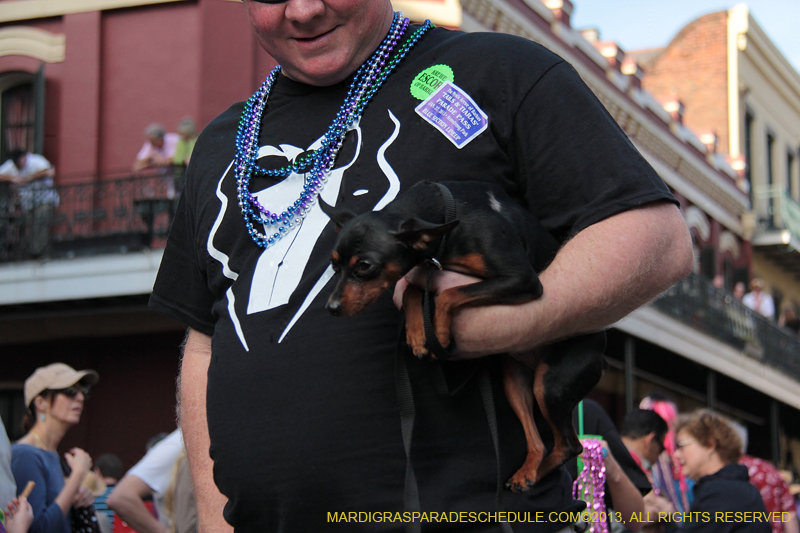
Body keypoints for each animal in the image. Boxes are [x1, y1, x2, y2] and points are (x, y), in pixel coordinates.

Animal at [318, 180, 608, 490]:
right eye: (334, 265)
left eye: (365, 266)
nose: (331, 308)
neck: (448, 219)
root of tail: (602, 349)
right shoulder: (426, 268)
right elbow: (411, 291)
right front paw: (417, 333)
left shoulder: (523, 280)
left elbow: (448, 294)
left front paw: (440, 334)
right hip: (515, 382)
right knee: (540, 442)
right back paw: (527, 472)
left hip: (550, 383)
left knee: (569, 445)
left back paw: (534, 473)